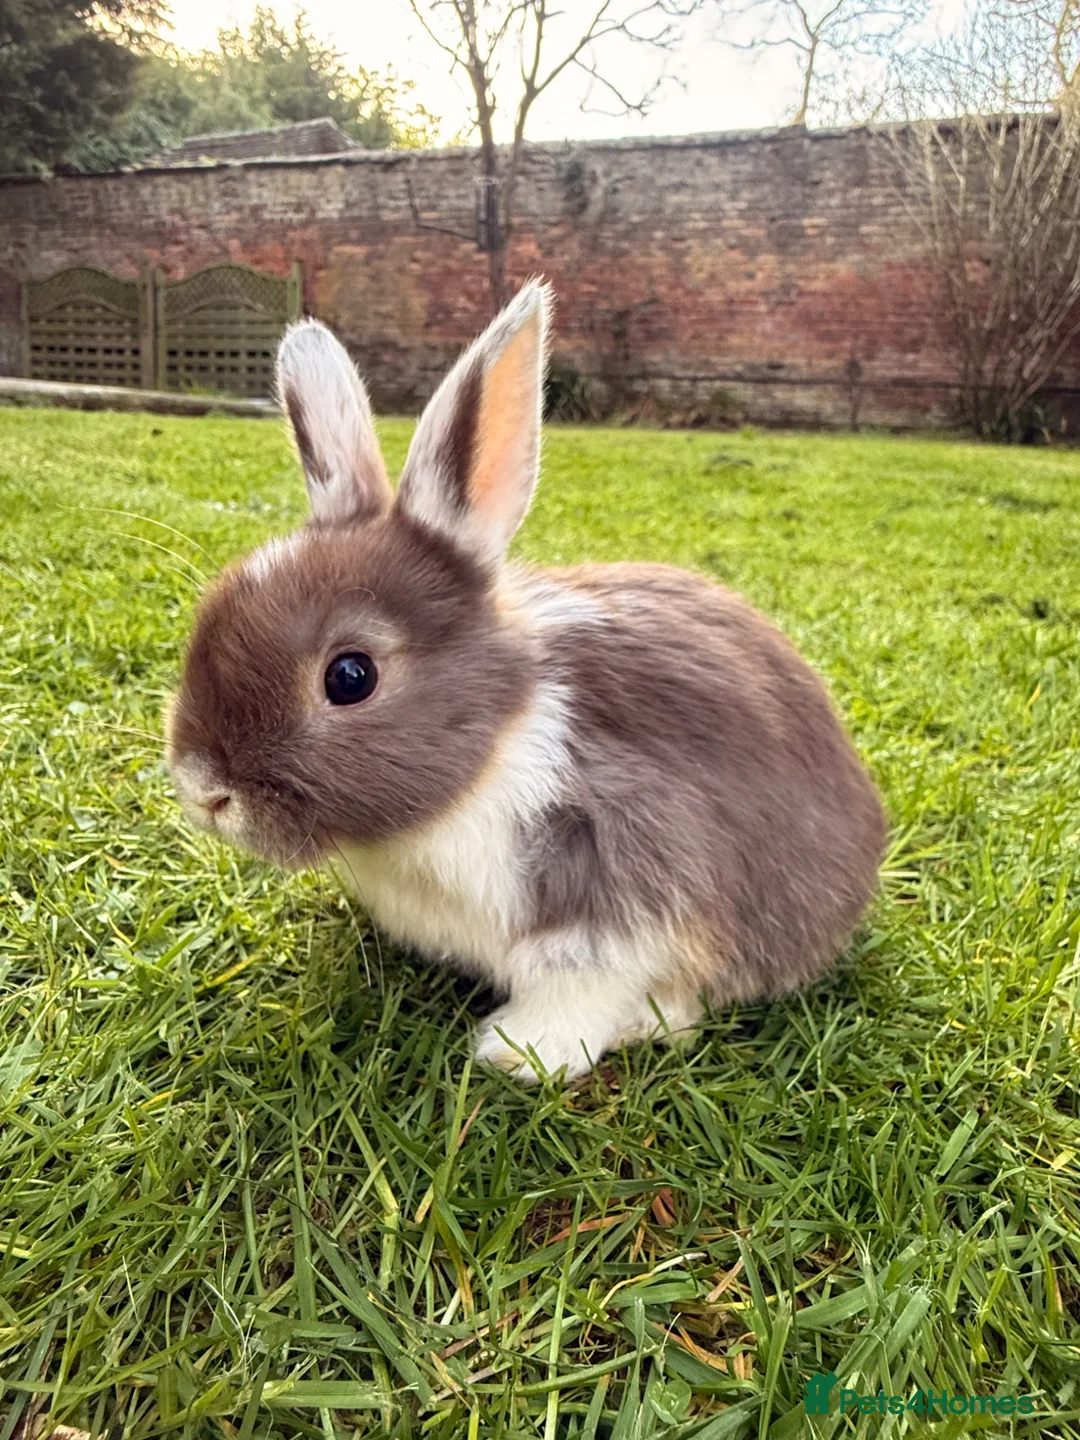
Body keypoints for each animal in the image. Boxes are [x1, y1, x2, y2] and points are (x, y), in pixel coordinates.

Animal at [165, 278, 887, 1084]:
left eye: (350, 676)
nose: (203, 790)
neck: (495, 746)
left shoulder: (621, 876)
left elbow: (587, 982)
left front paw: (518, 1052)